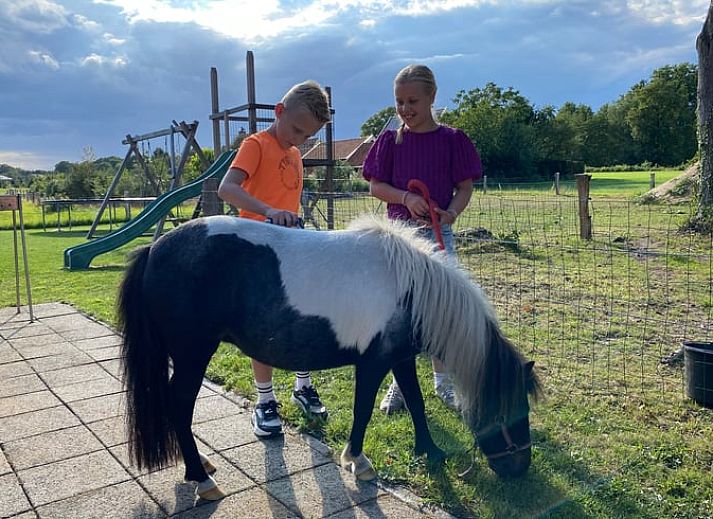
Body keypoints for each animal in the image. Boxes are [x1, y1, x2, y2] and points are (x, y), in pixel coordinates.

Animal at [118, 215, 542, 500]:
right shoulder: (372, 362)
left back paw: (201, 466)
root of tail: (153, 249)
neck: (410, 287)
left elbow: (417, 403)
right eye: (512, 411)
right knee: (179, 405)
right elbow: (363, 411)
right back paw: (201, 478)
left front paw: (432, 453)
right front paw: (358, 461)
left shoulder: (400, 358)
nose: (520, 470)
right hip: (192, 355)